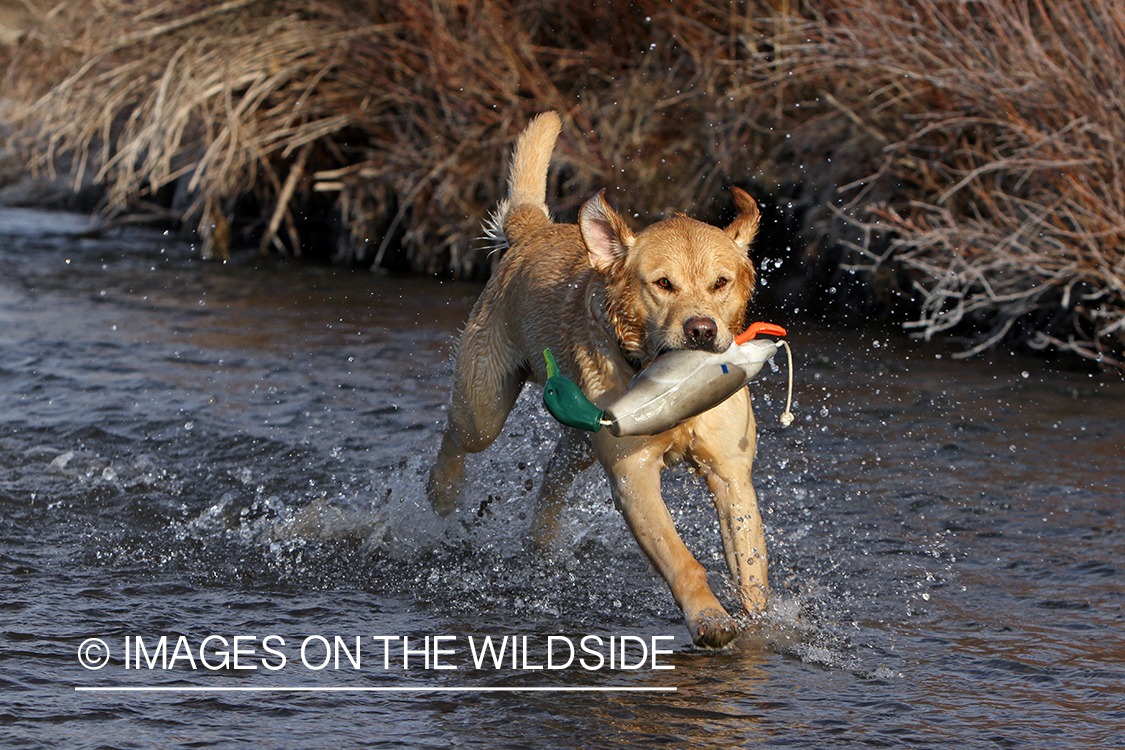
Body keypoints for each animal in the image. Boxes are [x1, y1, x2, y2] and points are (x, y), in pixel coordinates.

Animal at [427, 113, 765, 652]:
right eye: (662, 283)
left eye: (721, 283)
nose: (702, 330)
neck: (665, 377)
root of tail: (535, 229)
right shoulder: (633, 475)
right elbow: (683, 561)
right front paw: (709, 618)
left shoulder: (731, 471)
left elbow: (751, 569)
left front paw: (764, 623)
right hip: (486, 405)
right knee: (459, 438)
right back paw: (443, 492)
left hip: (583, 432)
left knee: (553, 475)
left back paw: (541, 544)